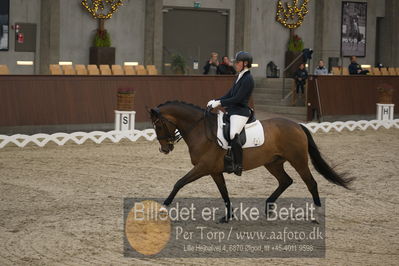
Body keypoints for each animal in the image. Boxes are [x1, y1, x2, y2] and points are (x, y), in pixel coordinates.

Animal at [149, 100, 354, 222]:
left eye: (158, 125)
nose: (164, 149)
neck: (200, 130)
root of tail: (297, 125)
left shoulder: (203, 167)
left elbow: (179, 183)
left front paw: (164, 206)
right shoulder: (214, 171)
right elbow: (224, 192)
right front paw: (228, 216)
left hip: (298, 160)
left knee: (311, 183)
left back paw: (316, 214)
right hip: (273, 163)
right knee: (286, 181)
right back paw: (268, 208)